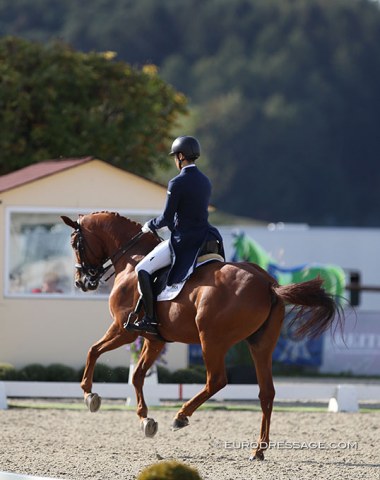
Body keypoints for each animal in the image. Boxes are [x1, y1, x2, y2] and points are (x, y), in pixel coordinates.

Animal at [60, 212, 342, 460]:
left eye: (75, 243)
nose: (81, 282)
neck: (131, 259)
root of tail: (268, 284)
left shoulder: (123, 329)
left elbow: (93, 351)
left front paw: (89, 395)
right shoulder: (154, 338)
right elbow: (138, 376)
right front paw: (145, 419)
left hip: (211, 341)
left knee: (216, 380)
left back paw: (181, 416)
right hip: (260, 344)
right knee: (266, 393)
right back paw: (258, 450)